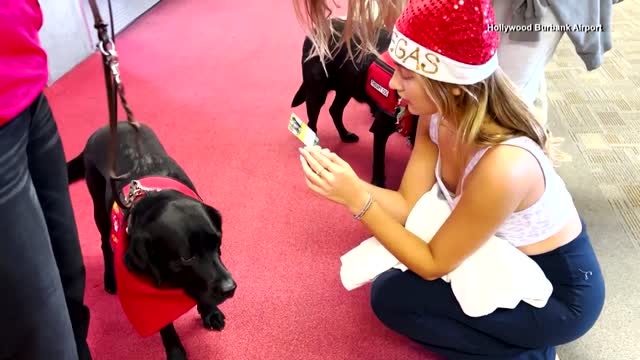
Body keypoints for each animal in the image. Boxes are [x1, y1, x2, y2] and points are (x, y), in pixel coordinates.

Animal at [292, 17, 420, 187]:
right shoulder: (381, 127)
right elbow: (379, 164)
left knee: (335, 110)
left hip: (346, 88)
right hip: (316, 92)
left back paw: (345, 135)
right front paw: (378, 184)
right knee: (312, 122)